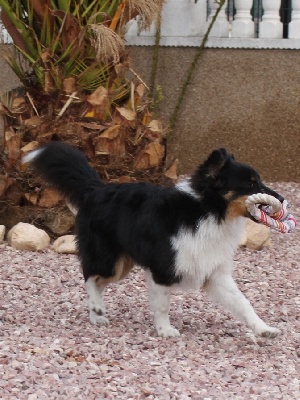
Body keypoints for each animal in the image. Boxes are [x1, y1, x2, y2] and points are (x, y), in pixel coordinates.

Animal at [22, 143, 284, 338]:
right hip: (108, 258)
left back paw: (96, 315)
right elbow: (162, 304)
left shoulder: (215, 274)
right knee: (89, 276)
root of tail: (95, 189)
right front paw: (165, 330)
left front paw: (264, 329)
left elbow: (243, 303)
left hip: (121, 266)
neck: (207, 211)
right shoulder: (163, 269)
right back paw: (96, 307)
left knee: (97, 281)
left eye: (258, 180)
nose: (281, 198)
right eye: (250, 183)